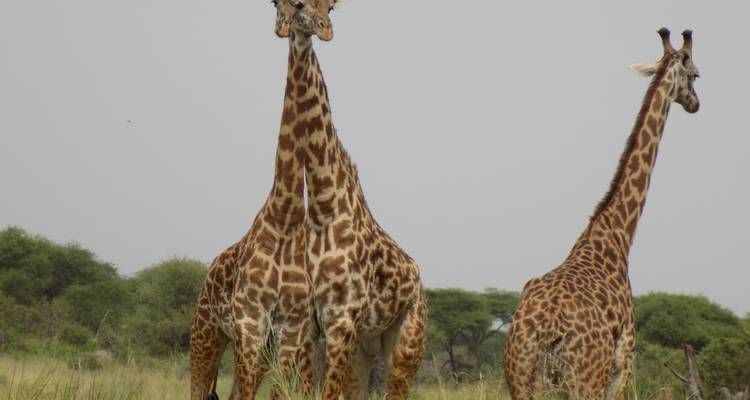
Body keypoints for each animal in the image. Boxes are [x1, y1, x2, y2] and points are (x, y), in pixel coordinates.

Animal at [189, 2, 321, 399]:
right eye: (280, 5)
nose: (284, 29)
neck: (286, 216)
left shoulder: (289, 328)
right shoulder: (250, 322)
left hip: (262, 347)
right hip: (206, 333)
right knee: (199, 388)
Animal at [287, 2, 428, 399]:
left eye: (332, 6)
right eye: (296, 5)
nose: (325, 29)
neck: (324, 206)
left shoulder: (341, 322)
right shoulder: (309, 325)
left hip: (405, 342)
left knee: (397, 388)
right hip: (366, 346)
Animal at [503, 28, 700, 400]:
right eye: (695, 74)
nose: (696, 103)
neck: (616, 236)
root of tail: (544, 333)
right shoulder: (625, 362)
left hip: (520, 378)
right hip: (586, 379)